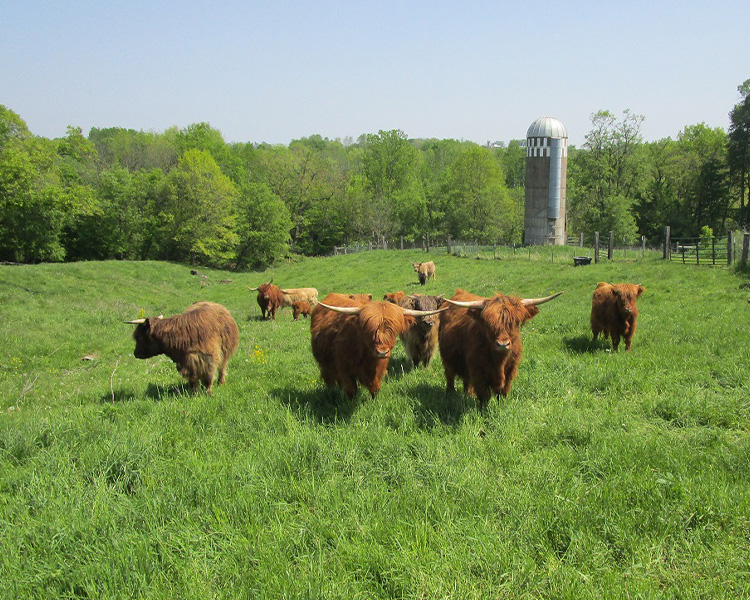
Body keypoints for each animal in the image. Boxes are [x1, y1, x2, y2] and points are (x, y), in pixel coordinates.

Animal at [311, 293, 446, 399]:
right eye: (369, 329)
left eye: (393, 330)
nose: (382, 352)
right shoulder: (345, 371)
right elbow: (351, 391)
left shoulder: (379, 369)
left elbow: (375, 389)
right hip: (325, 365)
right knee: (329, 378)